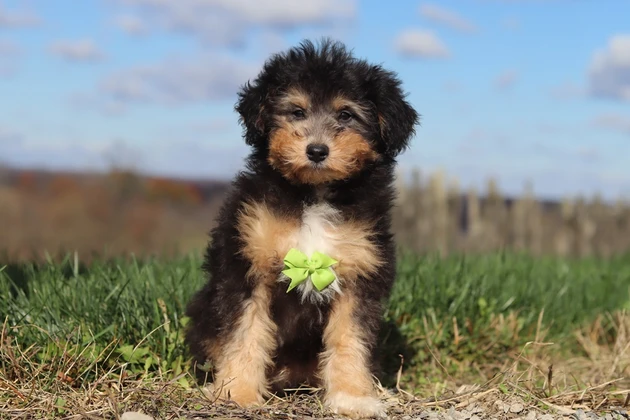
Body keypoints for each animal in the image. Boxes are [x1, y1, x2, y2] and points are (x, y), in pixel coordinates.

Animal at [185, 37, 422, 418]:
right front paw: (237, 393)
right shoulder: (247, 265)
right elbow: (245, 332)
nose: (316, 150)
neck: (313, 195)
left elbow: (350, 338)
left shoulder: (360, 273)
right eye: (296, 112)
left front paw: (352, 397)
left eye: (345, 115)